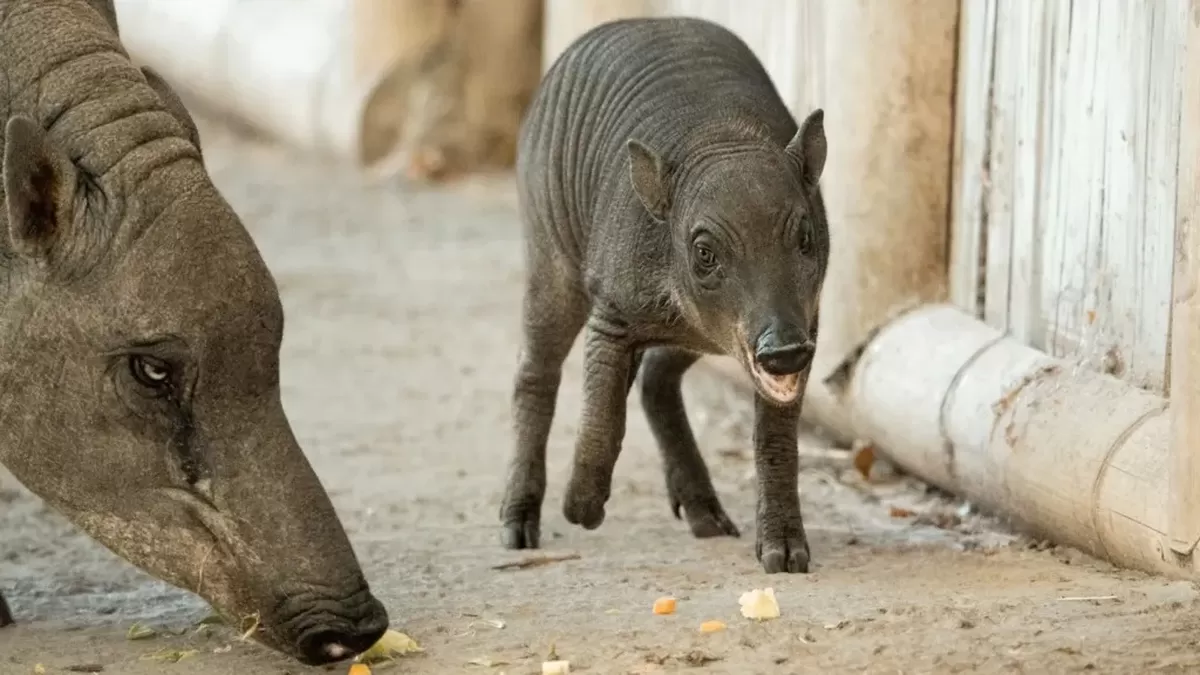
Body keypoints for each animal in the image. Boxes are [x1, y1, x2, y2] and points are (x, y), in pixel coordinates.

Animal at [499, 17, 829, 574]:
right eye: (705, 252)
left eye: (806, 236)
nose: (783, 351)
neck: (721, 135)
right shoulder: (612, 310)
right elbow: (603, 414)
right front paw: (581, 509)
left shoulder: (808, 322)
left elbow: (775, 437)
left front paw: (784, 555)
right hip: (549, 251)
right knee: (535, 371)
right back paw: (518, 526)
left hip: (704, 338)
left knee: (655, 376)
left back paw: (706, 516)